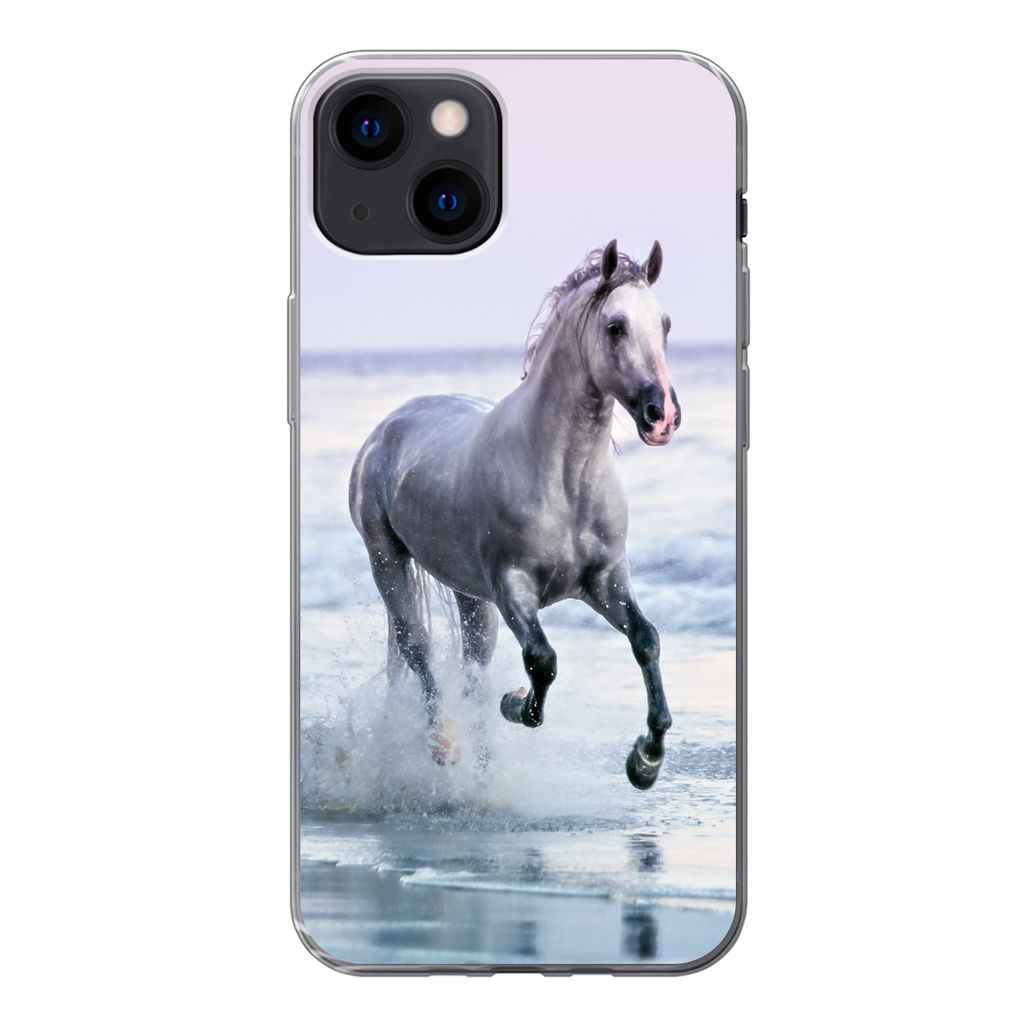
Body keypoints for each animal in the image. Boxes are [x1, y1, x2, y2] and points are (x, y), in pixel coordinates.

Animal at [348, 239, 681, 789]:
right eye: (616, 326)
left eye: (665, 324)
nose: (663, 417)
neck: (564, 478)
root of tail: (387, 427)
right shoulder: (513, 587)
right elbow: (541, 662)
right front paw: (516, 702)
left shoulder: (605, 581)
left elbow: (646, 641)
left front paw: (645, 762)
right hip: (389, 564)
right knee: (419, 651)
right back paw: (443, 744)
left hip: (468, 595)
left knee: (472, 670)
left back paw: (483, 777)